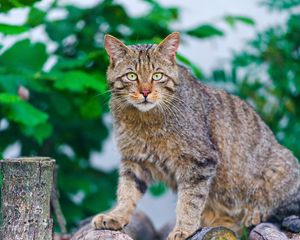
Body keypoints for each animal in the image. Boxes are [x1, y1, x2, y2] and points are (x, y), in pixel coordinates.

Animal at [91, 32, 300, 240]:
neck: (145, 121)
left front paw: (184, 228)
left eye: (157, 76)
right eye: (131, 76)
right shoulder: (134, 160)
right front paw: (116, 216)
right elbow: (127, 192)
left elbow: (189, 201)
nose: (145, 91)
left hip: (281, 168)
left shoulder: (199, 161)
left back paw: (255, 213)